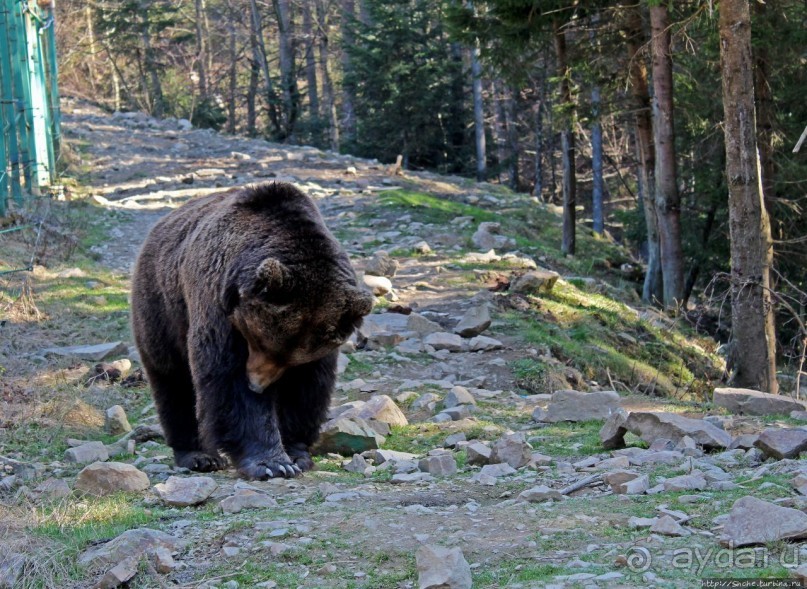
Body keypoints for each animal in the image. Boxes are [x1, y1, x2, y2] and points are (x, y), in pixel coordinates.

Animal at [131, 183, 374, 478]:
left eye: (290, 360)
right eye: (257, 341)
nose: (257, 384)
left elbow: (307, 387)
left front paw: (296, 453)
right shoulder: (219, 306)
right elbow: (228, 378)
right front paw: (271, 463)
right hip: (162, 306)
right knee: (173, 377)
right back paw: (198, 455)